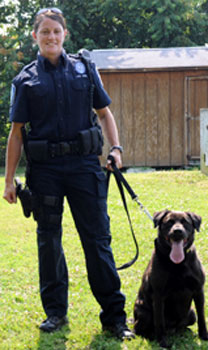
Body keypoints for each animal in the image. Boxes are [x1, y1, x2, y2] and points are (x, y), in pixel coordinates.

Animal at [133, 209, 208, 348]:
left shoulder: (198, 290)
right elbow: (159, 321)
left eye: (185, 222)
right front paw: (162, 342)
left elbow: (202, 317)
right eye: (169, 222)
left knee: (183, 326)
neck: (178, 263)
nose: (177, 231)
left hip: (191, 314)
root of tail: (172, 329)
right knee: (139, 329)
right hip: (144, 312)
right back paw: (151, 337)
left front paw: (204, 336)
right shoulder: (158, 295)